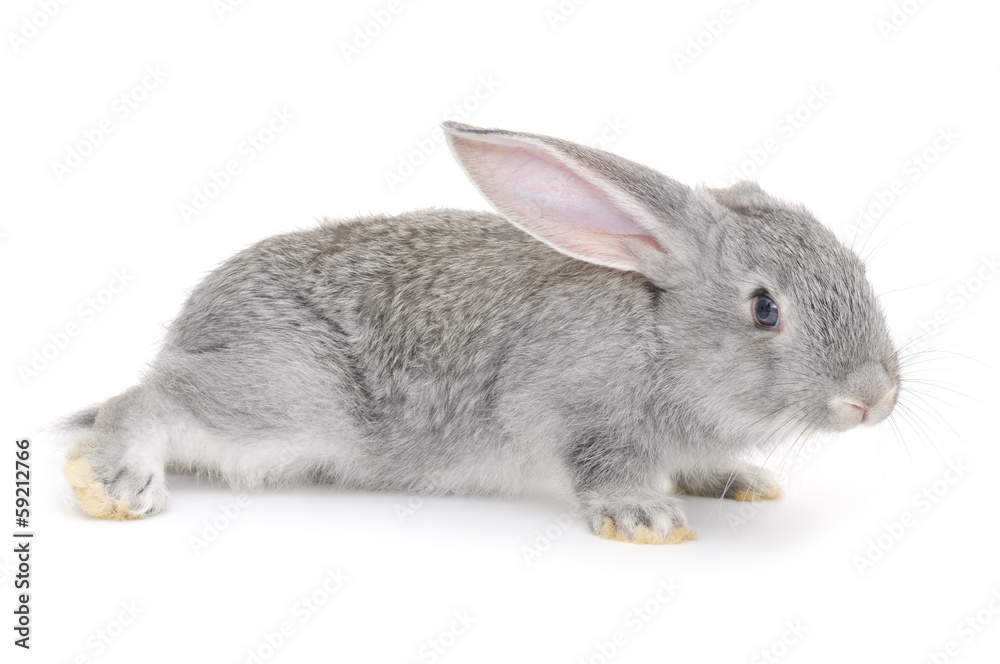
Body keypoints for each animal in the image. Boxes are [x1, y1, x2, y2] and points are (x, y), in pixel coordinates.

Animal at [62, 121, 900, 544]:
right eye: (765, 309)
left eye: (857, 268)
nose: (875, 398)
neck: (663, 334)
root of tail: (191, 327)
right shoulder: (578, 410)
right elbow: (603, 467)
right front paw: (644, 517)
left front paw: (742, 481)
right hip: (280, 400)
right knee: (144, 402)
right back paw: (116, 483)